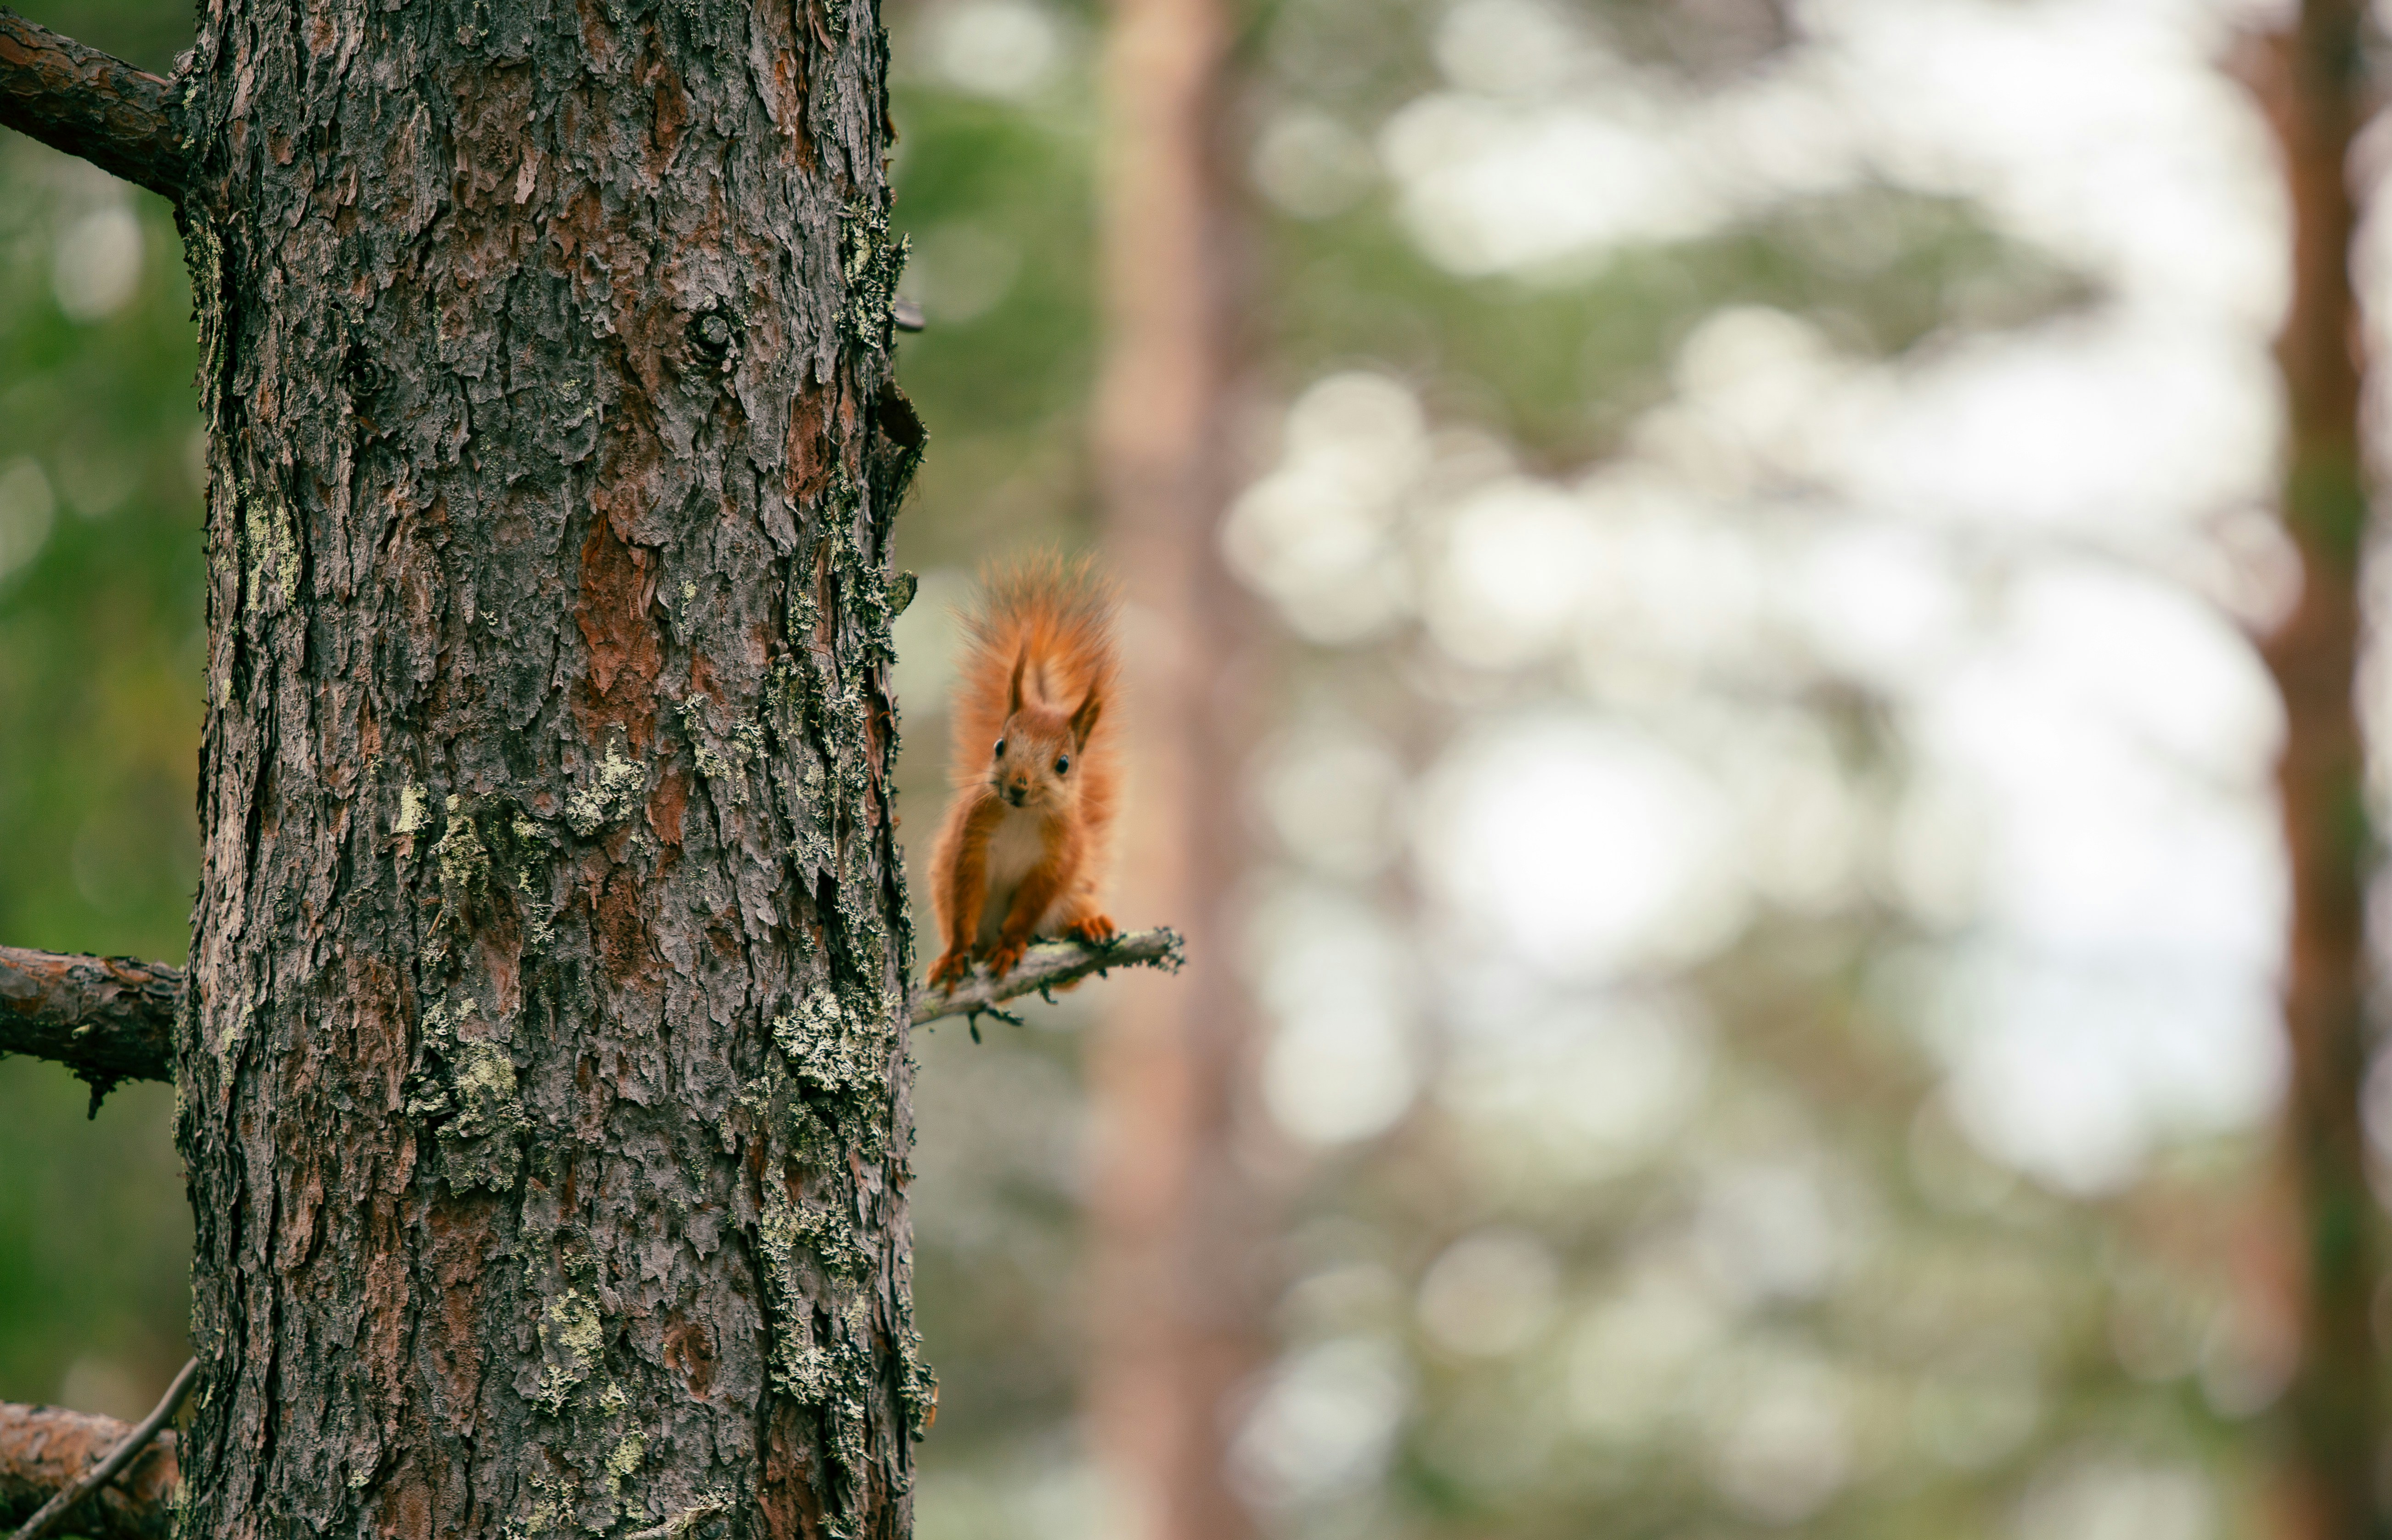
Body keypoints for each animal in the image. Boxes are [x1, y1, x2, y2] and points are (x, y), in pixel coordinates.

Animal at [926, 556, 1122, 990]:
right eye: (1000, 745)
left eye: (1064, 763)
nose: (1017, 786)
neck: (1022, 816)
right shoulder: (972, 841)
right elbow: (964, 902)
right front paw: (955, 954)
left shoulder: (1057, 861)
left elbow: (1027, 911)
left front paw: (1011, 946)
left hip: (1074, 894)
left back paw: (1089, 923)